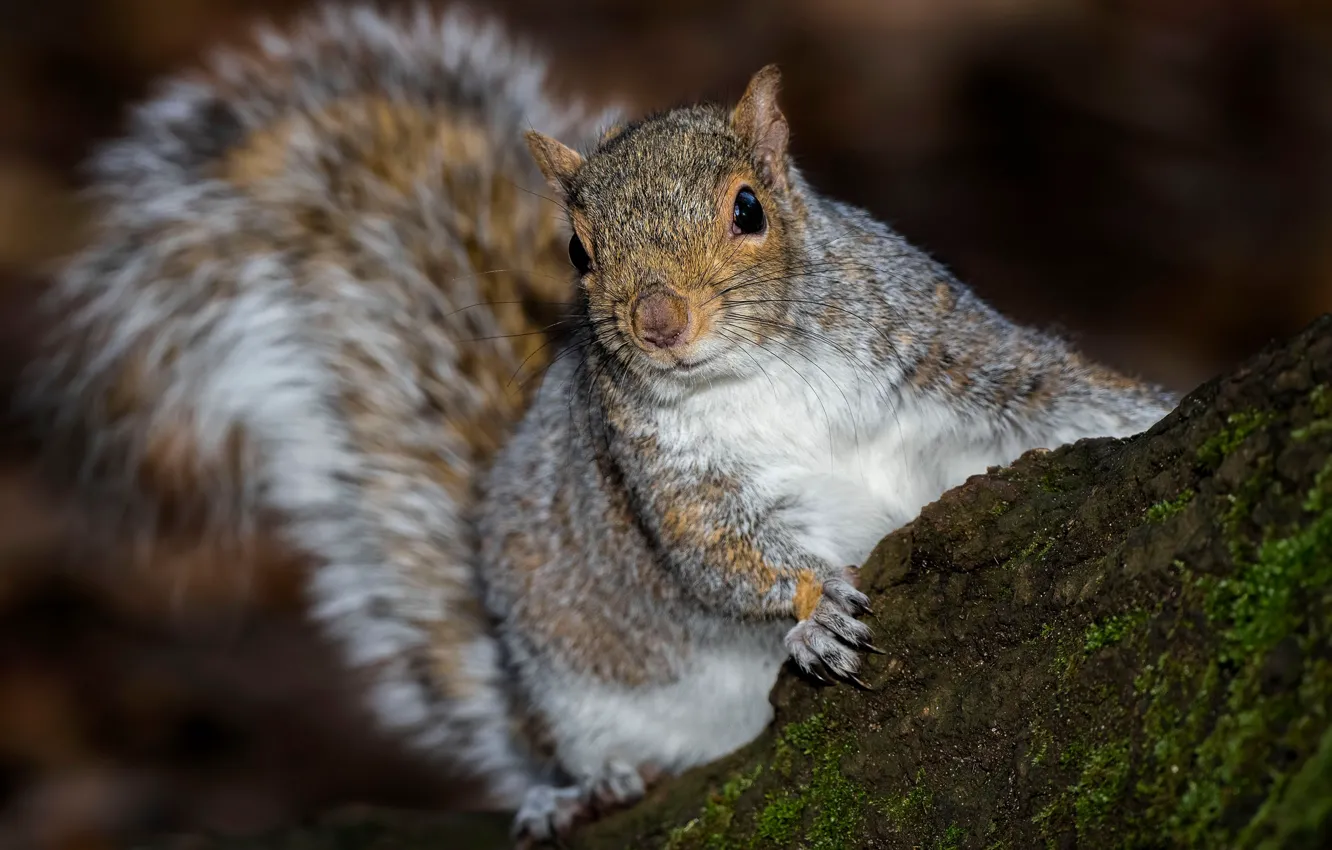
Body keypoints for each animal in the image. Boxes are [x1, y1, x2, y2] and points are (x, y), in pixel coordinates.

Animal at [15, 2, 1179, 845]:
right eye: (578, 250)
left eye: (750, 208)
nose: (656, 322)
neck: (758, 372)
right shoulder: (668, 473)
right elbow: (719, 554)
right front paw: (809, 610)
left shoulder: (943, 348)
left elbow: (1044, 388)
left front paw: (1150, 412)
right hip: (573, 688)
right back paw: (589, 787)